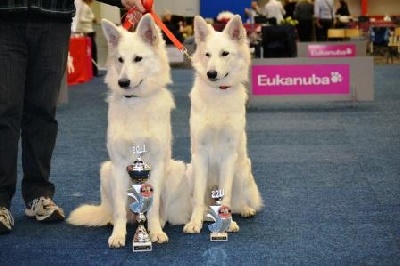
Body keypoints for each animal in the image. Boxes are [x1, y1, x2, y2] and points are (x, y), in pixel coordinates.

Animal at [68, 14, 191, 247]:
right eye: (120, 60)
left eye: (138, 59)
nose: (122, 82)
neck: (136, 102)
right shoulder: (119, 165)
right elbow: (119, 209)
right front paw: (118, 235)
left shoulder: (155, 164)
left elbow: (152, 207)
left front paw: (155, 232)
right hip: (106, 170)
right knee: (119, 211)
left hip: (174, 170)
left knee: (160, 210)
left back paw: (159, 223)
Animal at [183, 15, 264, 234]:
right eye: (207, 54)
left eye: (225, 53)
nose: (211, 74)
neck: (218, 92)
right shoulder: (201, 153)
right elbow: (197, 198)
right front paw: (195, 223)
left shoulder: (229, 154)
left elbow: (225, 193)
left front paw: (227, 223)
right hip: (191, 170)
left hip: (242, 169)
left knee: (239, 199)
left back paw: (244, 209)